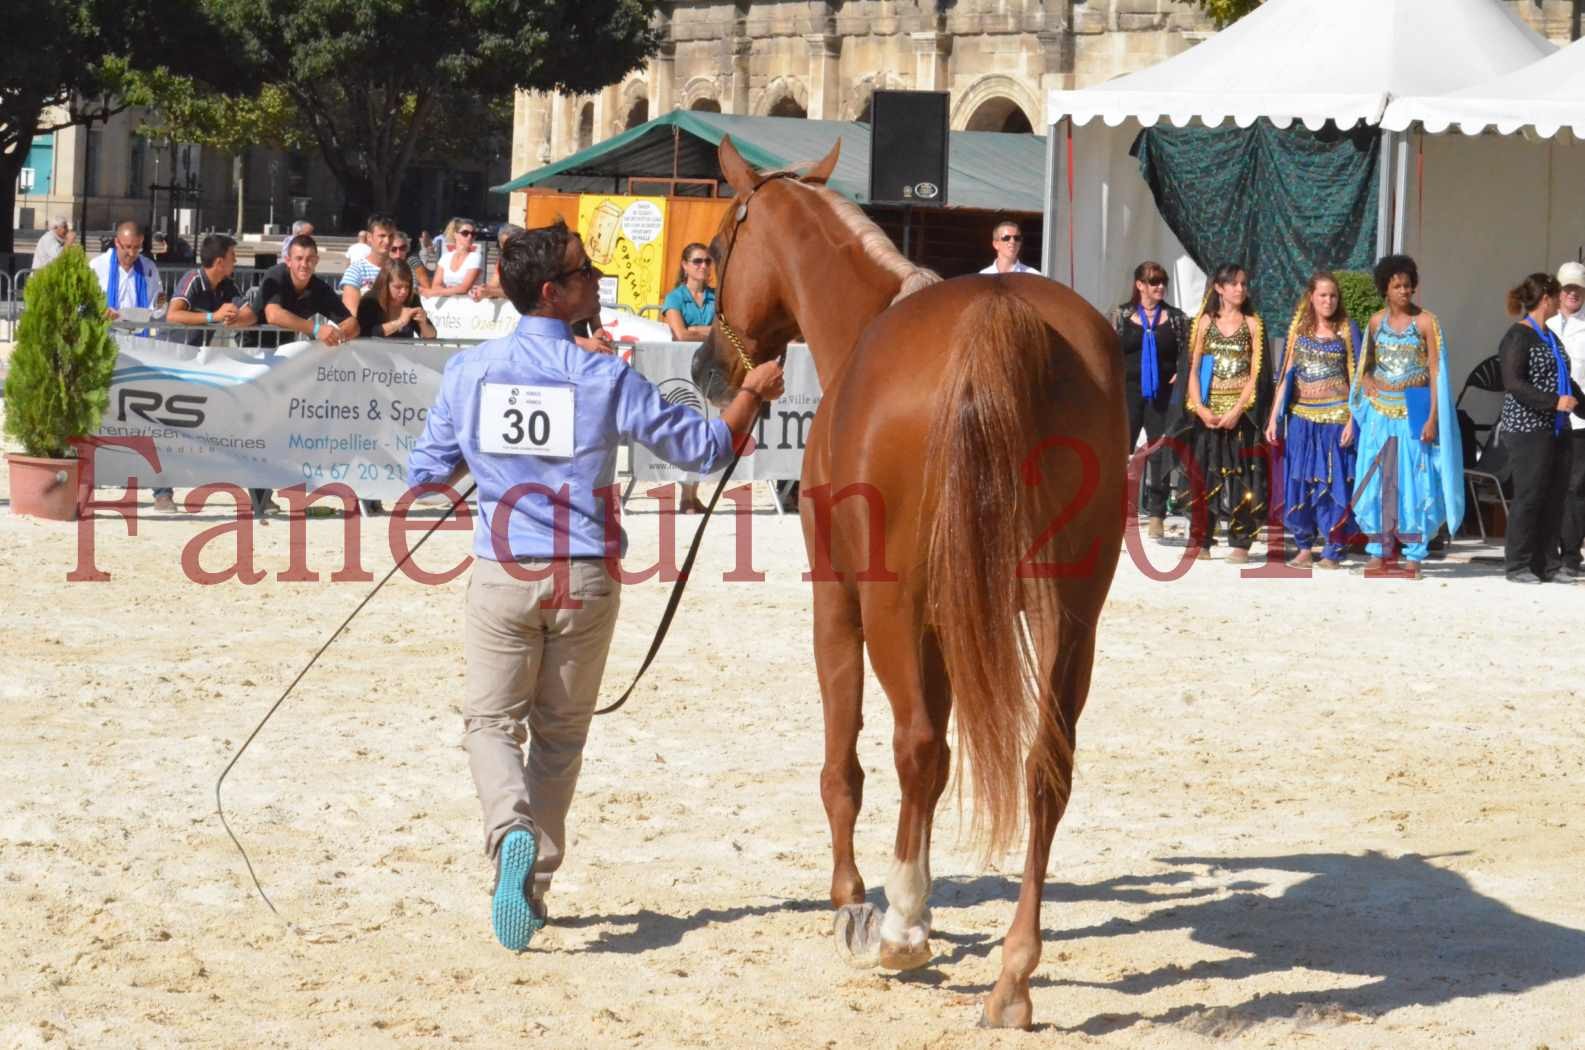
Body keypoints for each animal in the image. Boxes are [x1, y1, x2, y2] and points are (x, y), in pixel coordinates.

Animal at [694, 137, 1128, 1027]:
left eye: (716, 250)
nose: (708, 367)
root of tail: (1005, 318)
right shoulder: (955, 616)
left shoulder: (839, 599)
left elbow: (846, 762)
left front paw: (858, 901)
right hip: (1070, 611)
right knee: (1045, 765)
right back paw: (1013, 975)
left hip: (893, 603)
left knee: (917, 745)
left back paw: (895, 935)